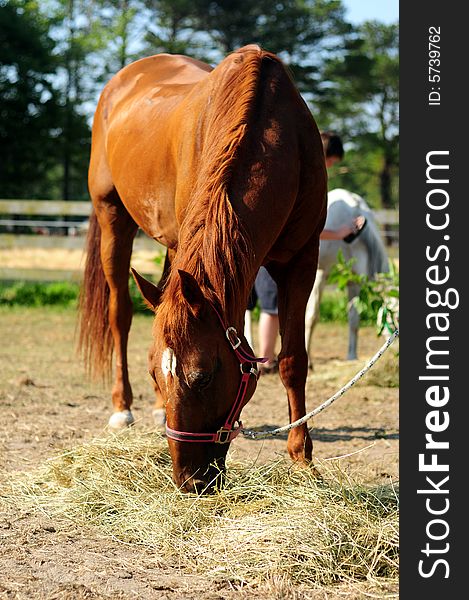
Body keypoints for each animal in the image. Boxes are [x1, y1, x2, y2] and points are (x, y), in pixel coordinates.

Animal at [79, 43, 326, 492]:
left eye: (204, 376)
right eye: (154, 374)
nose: (188, 481)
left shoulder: (302, 259)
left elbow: (292, 360)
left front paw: (302, 458)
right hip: (113, 218)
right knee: (120, 314)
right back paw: (122, 408)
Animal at [304, 188, 388, 366]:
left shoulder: (354, 282)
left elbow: (354, 319)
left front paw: (352, 356)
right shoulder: (320, 275)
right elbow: (312, 317)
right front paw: (308, 362)